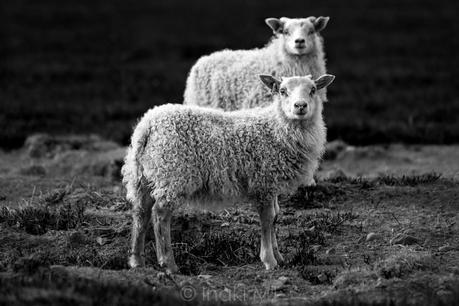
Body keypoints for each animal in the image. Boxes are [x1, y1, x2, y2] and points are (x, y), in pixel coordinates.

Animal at [124, 73, 336, 272]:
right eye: (283, 91)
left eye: (313, 90)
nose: (300, 106)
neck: (276, 128)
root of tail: (147, 125)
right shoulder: (264, 181)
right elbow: (267, 219)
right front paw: (269, 260)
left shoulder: (271, 183)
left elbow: (276, 216)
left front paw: (280, 257)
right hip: (173, 174)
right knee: (160, 214)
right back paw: (168, 264)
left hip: (145, 176)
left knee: (141, 212)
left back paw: (137, 261)